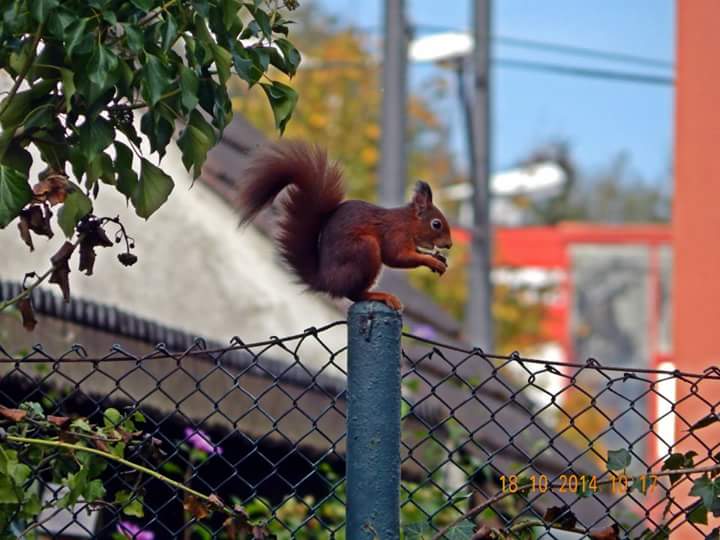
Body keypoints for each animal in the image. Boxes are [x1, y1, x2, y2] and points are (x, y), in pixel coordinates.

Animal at [238, 141, 453, 310]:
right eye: (436, 224)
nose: (449, 245)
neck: (408, 223)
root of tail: (326, 281)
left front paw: (439, 258)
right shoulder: (395, 233)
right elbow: (397, 257)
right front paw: (431, 261)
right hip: (364, 250)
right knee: (353, 294)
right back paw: (380, 296)